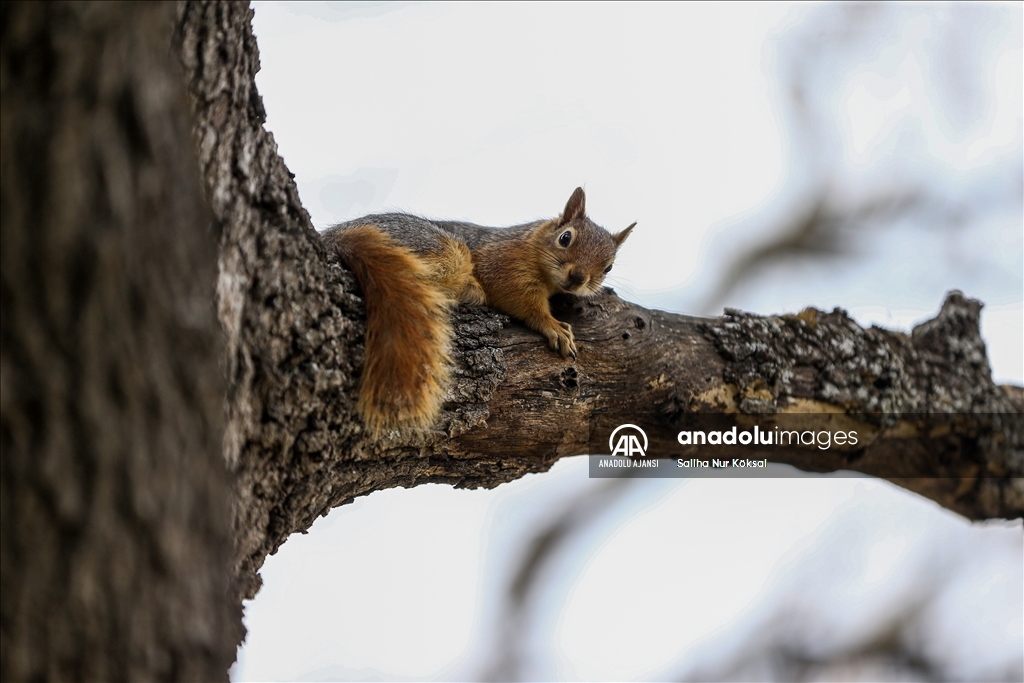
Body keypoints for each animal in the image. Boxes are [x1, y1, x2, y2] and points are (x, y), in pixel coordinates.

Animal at [325, 187, 630, 436]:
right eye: (565, 238)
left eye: (609, 267)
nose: (577, 277)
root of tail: (338, 236)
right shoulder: (502, 263)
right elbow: (522, 302)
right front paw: (553, 325)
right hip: (443, 250)